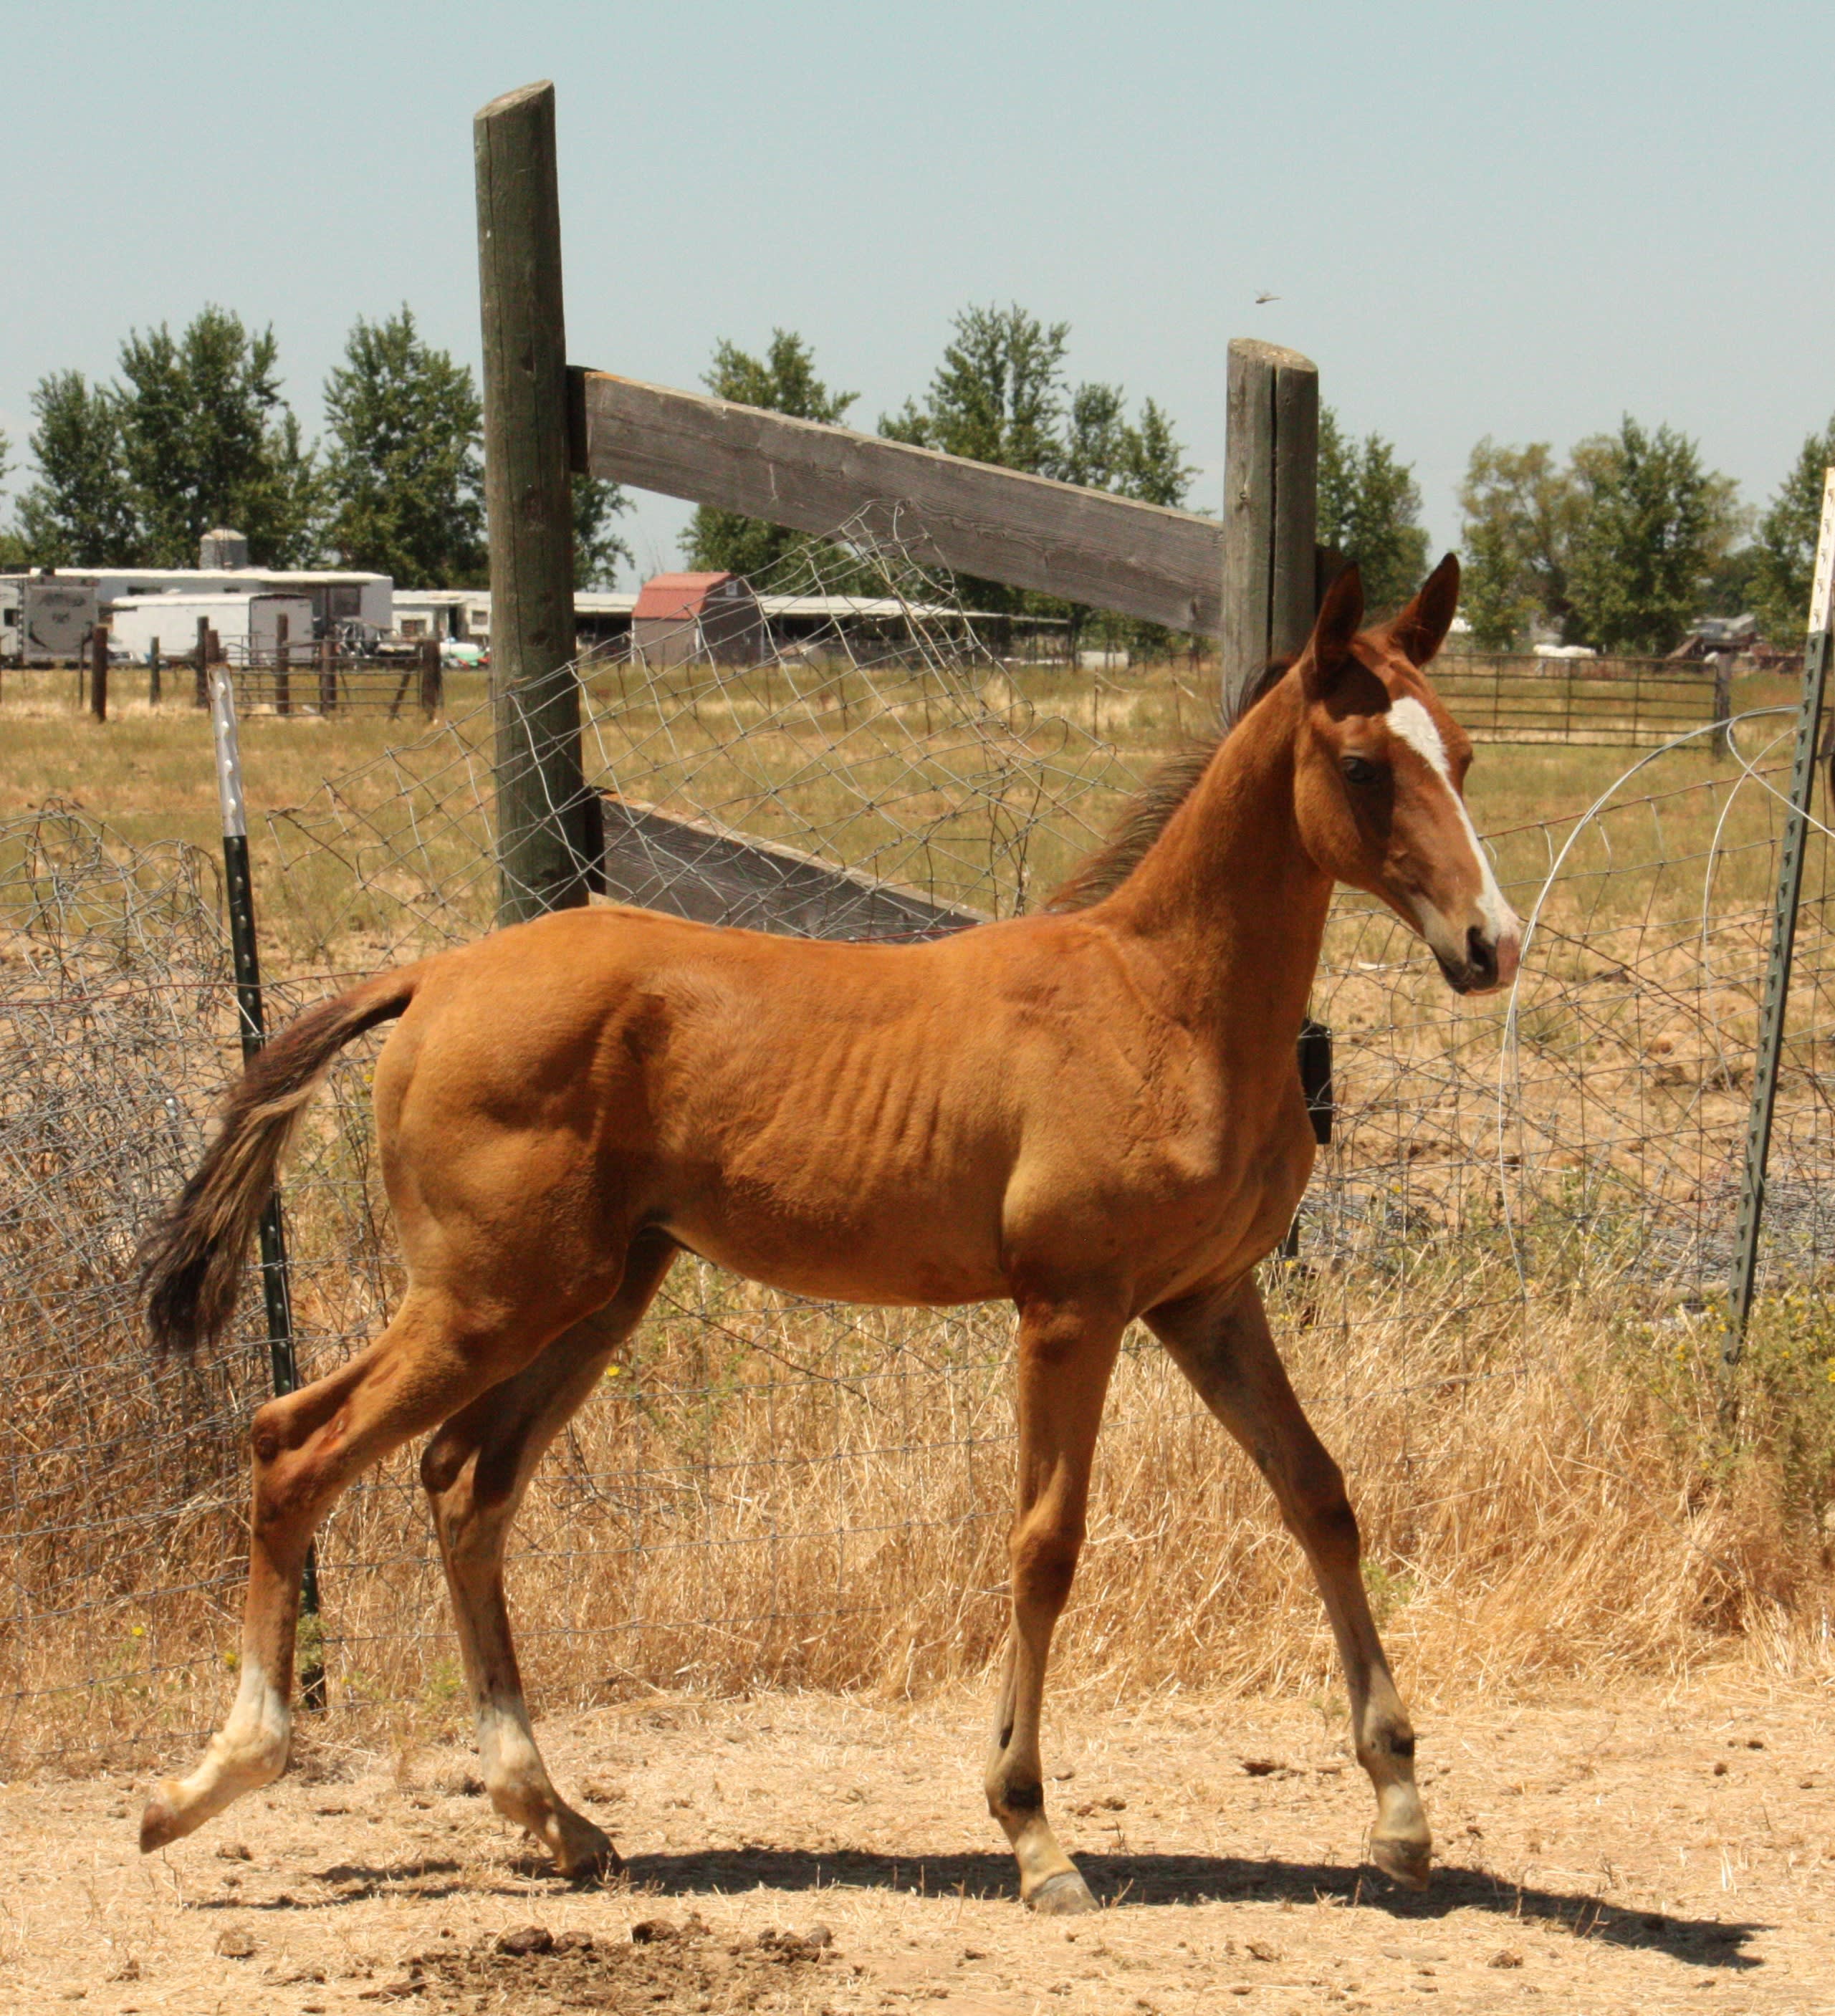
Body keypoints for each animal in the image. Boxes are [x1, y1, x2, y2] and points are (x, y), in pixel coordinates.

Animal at [136, 554, 1519, 1913]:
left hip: (591, 1294)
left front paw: (1401, 1816)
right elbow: (1047, 1542)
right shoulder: (1070, 1305)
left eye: (1459, 753)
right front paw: (1032, 1829)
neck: (1166, 1006)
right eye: (1362, 765)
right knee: (296, 1445)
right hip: (486, 1294)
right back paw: (212, 1778)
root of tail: (435, 972)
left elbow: (1319, 1495)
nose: (1491, 944)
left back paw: (553, 1813)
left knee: (464, 1483)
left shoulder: (1207, 1300)